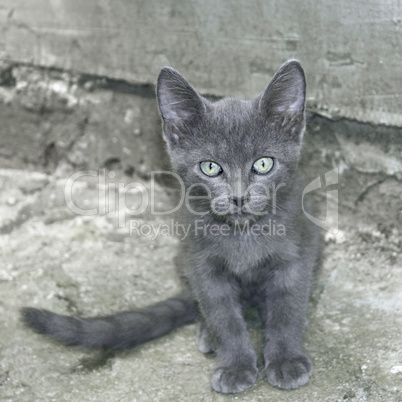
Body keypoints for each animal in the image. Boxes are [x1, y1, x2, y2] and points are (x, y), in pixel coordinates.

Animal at [23, 59, 322, 392]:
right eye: (210, 167)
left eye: (263, 164)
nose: (239, 197)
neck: (242, 232)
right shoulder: (201, 265)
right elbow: (223, 317)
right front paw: (235, 364)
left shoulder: (296, 256)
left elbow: (286, 310)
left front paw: (286, 359)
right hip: (182, 256)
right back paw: (207, 334)